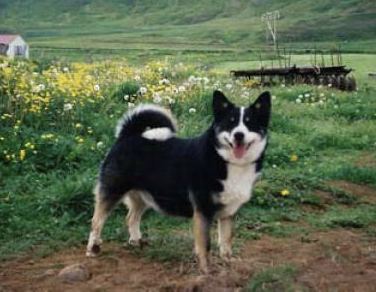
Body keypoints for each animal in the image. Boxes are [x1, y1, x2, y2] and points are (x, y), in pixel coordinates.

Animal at [87, 90, 272, 272]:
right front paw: (206, 271)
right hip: (113, 190)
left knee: (131, 217)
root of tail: (127, 135)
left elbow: (226, 241)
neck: (226, 160)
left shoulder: (229, 212)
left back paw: (136, 242)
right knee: (97, 221)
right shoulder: (203, 211)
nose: (239, 135)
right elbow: (205, 245)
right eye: (230, 123)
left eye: (250, 123)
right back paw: (93, 248)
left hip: (143, 195)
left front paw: (228, 263)